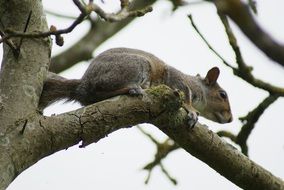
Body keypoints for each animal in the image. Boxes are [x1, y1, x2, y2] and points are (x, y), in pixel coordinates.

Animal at [38, 47, 232, 127]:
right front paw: (192, 111)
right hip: (135, 66)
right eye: (223, 94)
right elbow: (185, 97)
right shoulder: (176, 80)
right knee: (101, 90)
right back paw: (134, 89)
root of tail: (83, 84)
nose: (230, 119)